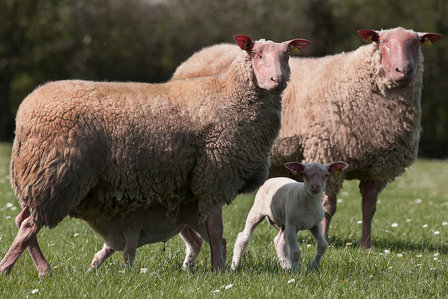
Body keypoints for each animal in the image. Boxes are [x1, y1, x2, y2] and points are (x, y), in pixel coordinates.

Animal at [0, 33, 312, 276]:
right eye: (256, 54)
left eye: (287, 55)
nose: (277, 80)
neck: (230, 95)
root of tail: (25, 111)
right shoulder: (215, 175)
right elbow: (215, 229)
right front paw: (218, 270)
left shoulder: (206, 182)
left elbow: (213, 232)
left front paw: (216, 267)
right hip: (56, 178)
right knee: (28, 225)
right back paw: (12, 268)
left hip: (40, 178)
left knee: (22, 220)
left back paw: (41, 269)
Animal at [170, 26, 442, 251]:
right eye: (382, 42)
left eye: (417, 43)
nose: (403, 70)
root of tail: (198, 55)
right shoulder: (328, 150)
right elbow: (327, 207)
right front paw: (323, 239)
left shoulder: (377, 167)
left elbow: (370, 208)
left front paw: (367, 246)